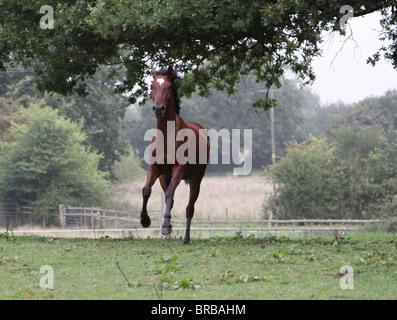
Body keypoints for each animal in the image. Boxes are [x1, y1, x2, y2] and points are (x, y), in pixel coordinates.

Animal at [139, 66, 209, 244]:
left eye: (169, 86)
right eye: (152, 86)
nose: (158, 109)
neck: (166, 136)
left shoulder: (179, 168)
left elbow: (170, 194)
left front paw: (165, 227)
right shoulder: (155, 168)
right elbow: (146, 190)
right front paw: (145, 220)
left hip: (196, 180)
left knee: (189, 209)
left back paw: (186, 238)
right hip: (165, 177)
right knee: (169, 198)